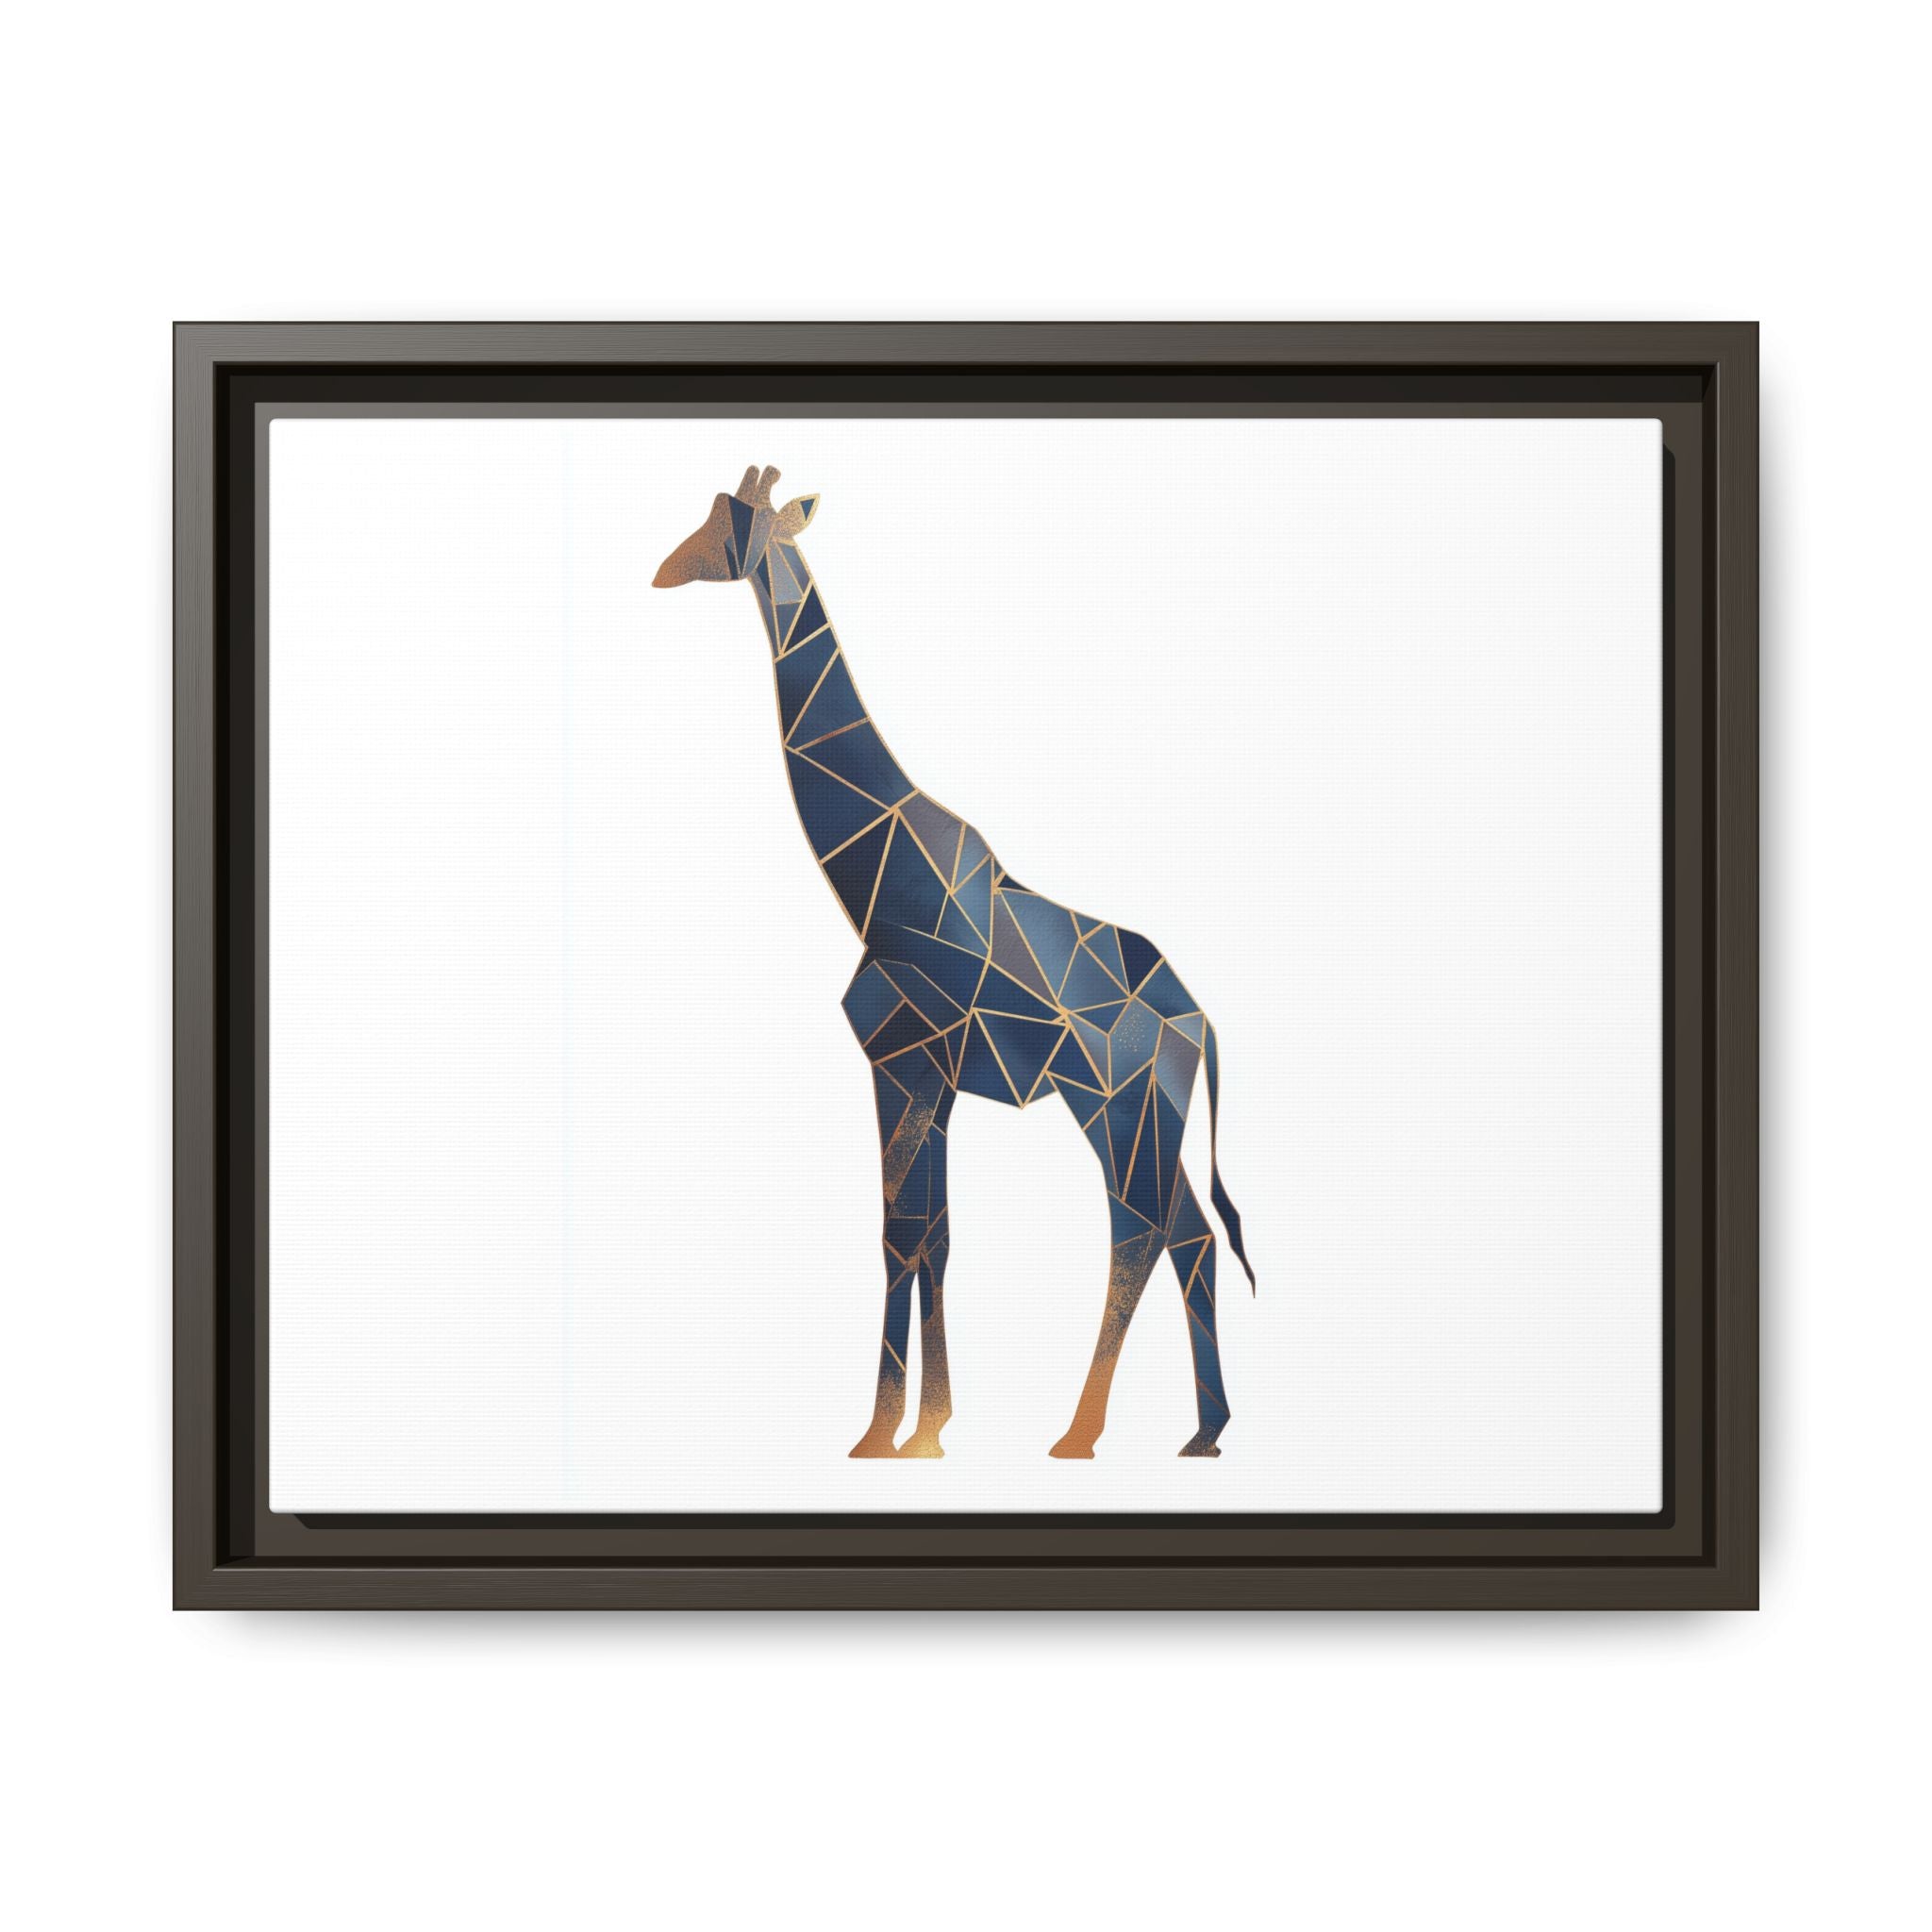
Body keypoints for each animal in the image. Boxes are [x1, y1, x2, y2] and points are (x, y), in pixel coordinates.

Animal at [654, 465, 1256, 1460]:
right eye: (708, 515)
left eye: (731, 526)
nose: (665, 569)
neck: (875, 882)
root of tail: (1200, 1022)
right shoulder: (924, 1078)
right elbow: (927, 1235)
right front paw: (916, 1428)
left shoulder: (903, 1063)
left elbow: (904, 1235)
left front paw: (893, 1433)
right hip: (1145, 1113)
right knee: (1190, 1235)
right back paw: (1203, 1432)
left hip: (1115, 1104)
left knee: (1139, 1230)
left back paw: (1080, 1434)